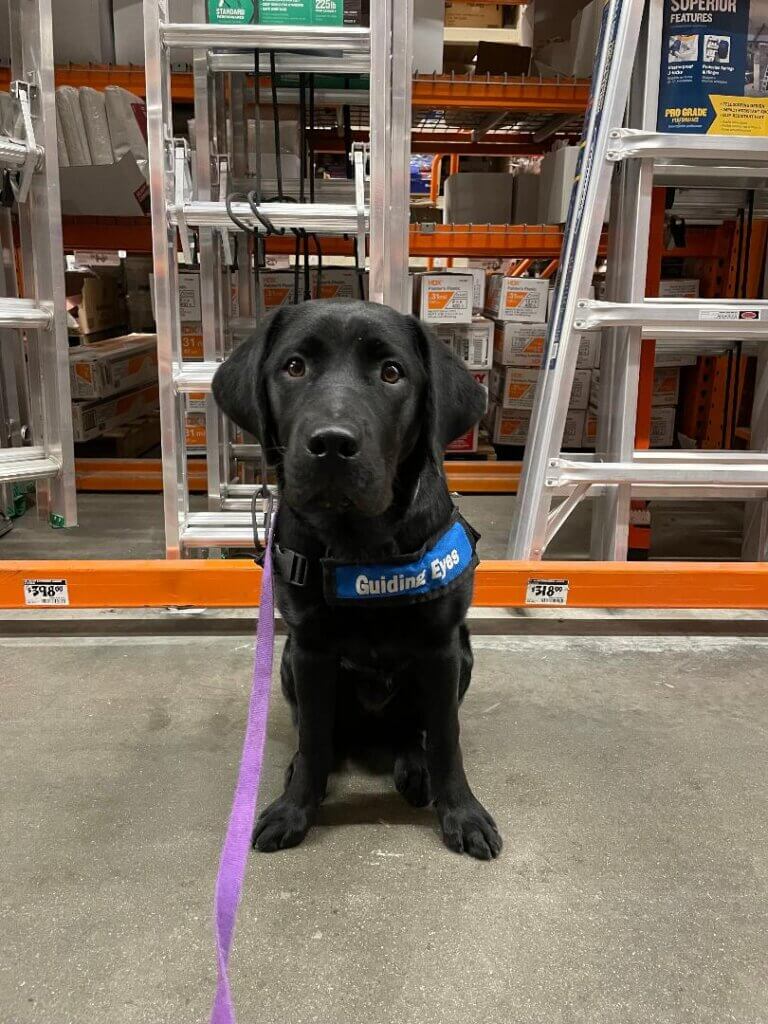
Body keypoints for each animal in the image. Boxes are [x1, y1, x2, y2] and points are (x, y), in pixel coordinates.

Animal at [215, 299, 505, 860]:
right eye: (294, 366)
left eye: (391, 373)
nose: (331, 444)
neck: (360, 547)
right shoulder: (310, 651)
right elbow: (313, 740)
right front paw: (294, 808)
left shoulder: (441, 649)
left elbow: (446, 738)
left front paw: (463, 813)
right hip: (287, 664)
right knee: (322, 734)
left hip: (462, 658)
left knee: (413, 733)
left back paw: (415, 768)